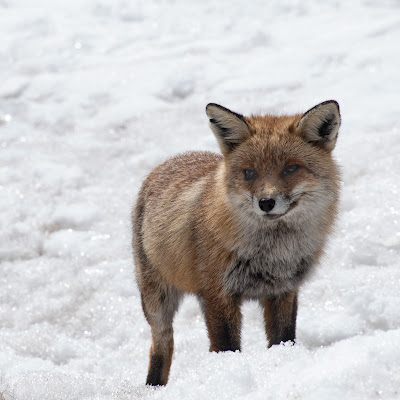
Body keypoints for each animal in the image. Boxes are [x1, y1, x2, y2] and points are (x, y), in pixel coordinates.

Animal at [132, 99, 340, 384]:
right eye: (249, 172)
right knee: (162, 343)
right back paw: (154, 386)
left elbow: (283, 338)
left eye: (290, 168)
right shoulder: (219, 294)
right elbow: (226, 345)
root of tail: (172, 160)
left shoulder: (284, 289)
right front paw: (226, 372)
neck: (273, 253)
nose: (266, 202)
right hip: (156, 300)